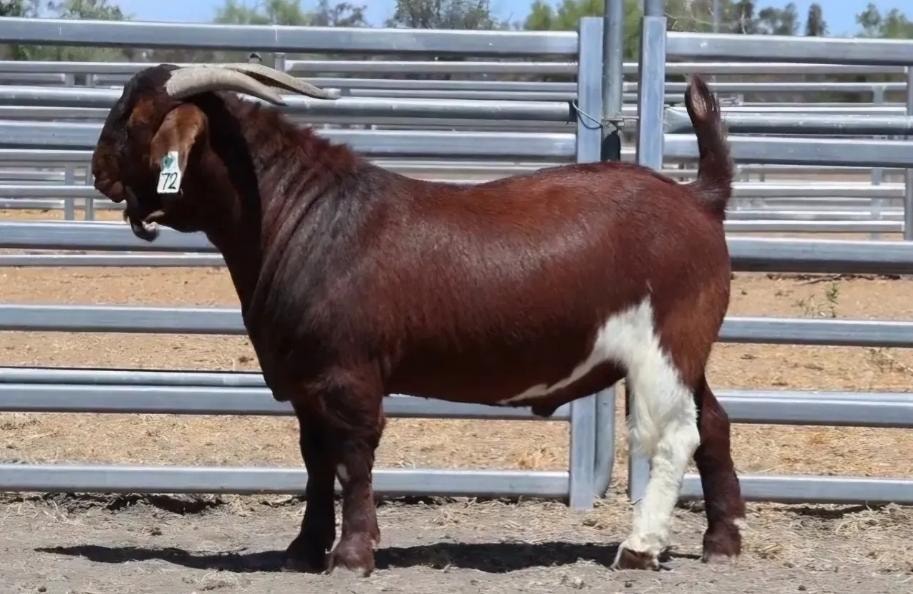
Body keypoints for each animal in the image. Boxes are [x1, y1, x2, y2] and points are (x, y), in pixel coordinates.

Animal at [91, 63, 745, 576]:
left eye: (134, 118)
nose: (98, 170)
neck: (297, 214)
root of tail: (698, 197)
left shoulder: (349, 373)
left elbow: (352, 457)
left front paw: (351, 556)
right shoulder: (304, 379)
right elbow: (314, 458)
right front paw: (303, 550)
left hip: (664, 346)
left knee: (678, 435)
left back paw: (640, 547)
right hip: (687, 353)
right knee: (713, 422)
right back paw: (722, 541)